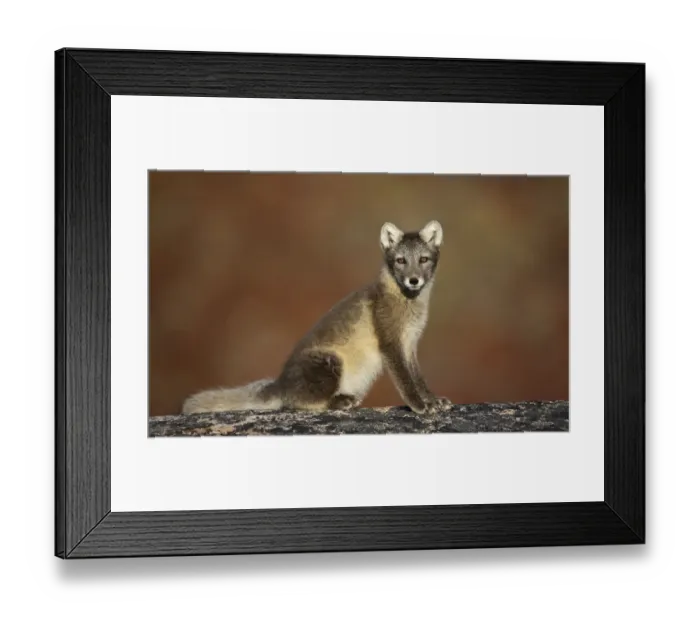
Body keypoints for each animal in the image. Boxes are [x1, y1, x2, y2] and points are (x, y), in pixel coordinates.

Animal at [181, 220, 452, 416]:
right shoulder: (390, 343)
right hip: (332, 362)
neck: (408, 305)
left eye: (423, 260)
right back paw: (341, 402)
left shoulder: (410, 345)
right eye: (400, 261)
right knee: (297, 404)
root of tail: (280, 383)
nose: (413, 280)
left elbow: (418, 378)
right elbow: (406, 382)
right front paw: (420, 407)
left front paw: (433, 400)